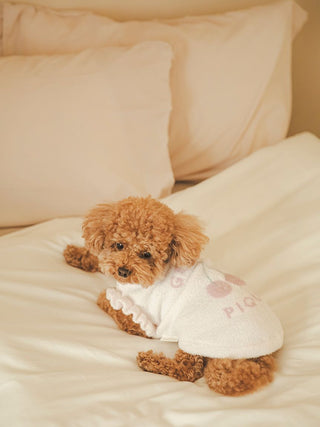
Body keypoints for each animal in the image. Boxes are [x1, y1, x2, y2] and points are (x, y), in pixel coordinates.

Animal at [64, 197, 280, 398]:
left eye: (146, 254)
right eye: (119, 245)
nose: (123, 271)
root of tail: (264, 356)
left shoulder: (143, 323)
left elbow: (112, 304)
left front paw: (106, 295)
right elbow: (103, 261)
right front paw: (77, 254)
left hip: (195, 333)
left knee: (188, 370)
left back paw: (150, 361)